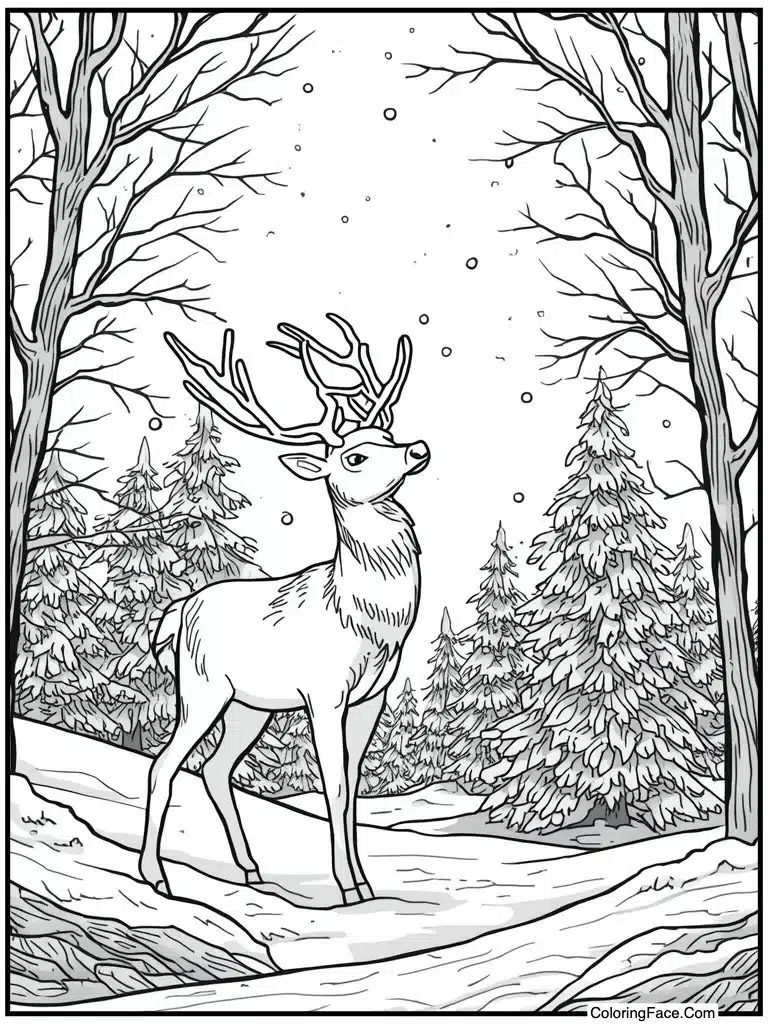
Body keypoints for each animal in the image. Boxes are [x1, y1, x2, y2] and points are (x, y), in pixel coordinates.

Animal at [139, 314, 429, 905]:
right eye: (355, 456)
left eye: (386, 437)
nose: (417, 449)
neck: (366, 619)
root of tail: (177, 612)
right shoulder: (324, 692)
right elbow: (334, 786)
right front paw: (348, 888)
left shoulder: (373, 695)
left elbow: (353, 788)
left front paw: (365, 881)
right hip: (202, 687)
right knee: (165, 764)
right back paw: (156, 876)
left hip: (252, 705)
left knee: (216, 768)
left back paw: (250, 868)